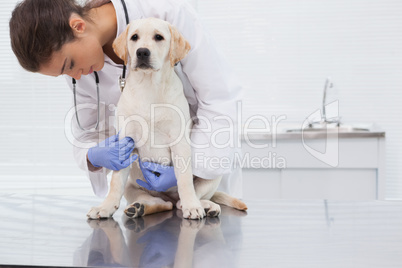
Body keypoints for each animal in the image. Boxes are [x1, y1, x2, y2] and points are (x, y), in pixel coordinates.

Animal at [86, 18, 247, 220]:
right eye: (134, 37)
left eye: (159, 37)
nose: (142, 52)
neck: (148, 86)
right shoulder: (125, 143)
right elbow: (115, 182)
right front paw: (105, 207)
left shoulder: (179, 142)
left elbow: (184, 178)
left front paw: (192, 206)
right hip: (133, 186)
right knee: (162, 204)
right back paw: (139, 207)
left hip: (213, 175)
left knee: (184, 200)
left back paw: (204, 206)